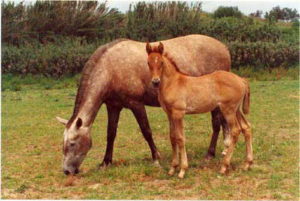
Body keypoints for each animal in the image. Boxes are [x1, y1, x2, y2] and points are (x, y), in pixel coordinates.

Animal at [55, 35, 230, 176]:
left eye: (72, 143)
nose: (67, 171)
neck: (110, 69)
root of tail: (224, 48)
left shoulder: (136, 104)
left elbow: (146, 131)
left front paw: (156, 158)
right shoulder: (113, 106)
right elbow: (110, 134)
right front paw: (106, 162)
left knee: (217, 124)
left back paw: (210, 153)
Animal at [146, 42, 252, 177]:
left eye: (161, 63)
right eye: (148, 63)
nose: (155, 81)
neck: (173, 83)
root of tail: (241, 80)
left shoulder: (178, 113)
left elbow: (180, 138)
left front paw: (182, 170)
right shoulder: (169, 114)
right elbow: (172, 137)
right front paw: (172, 168)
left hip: (228, 110)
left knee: (235, 131)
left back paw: (224, 166)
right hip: (237, 110)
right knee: (246, 128)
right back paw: (248, 163)